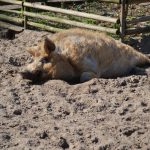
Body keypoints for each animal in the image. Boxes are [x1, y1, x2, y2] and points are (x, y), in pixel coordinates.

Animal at [20, 28, 150, 82]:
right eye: (33, 59)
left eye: (44, 59)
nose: (22, 72)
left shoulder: (93, 67)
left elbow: (85, 76)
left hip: (139, 55)